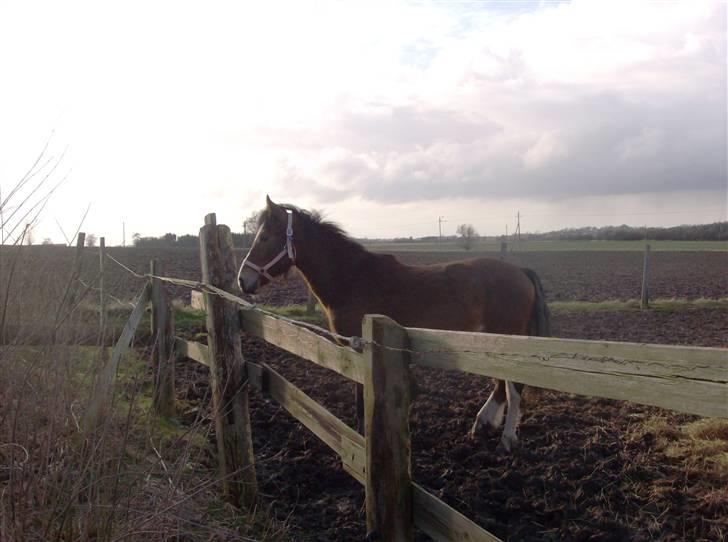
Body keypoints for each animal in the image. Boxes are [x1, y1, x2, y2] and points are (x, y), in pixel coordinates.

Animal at [239, 198, 552, 452]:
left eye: (264, 237)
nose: (243, 280)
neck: (352, 278)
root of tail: (519, 271)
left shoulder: (360, 350)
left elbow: (361, 402)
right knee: (500, 384)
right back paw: (483, 424)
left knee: (513, 387)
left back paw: (506, 439)